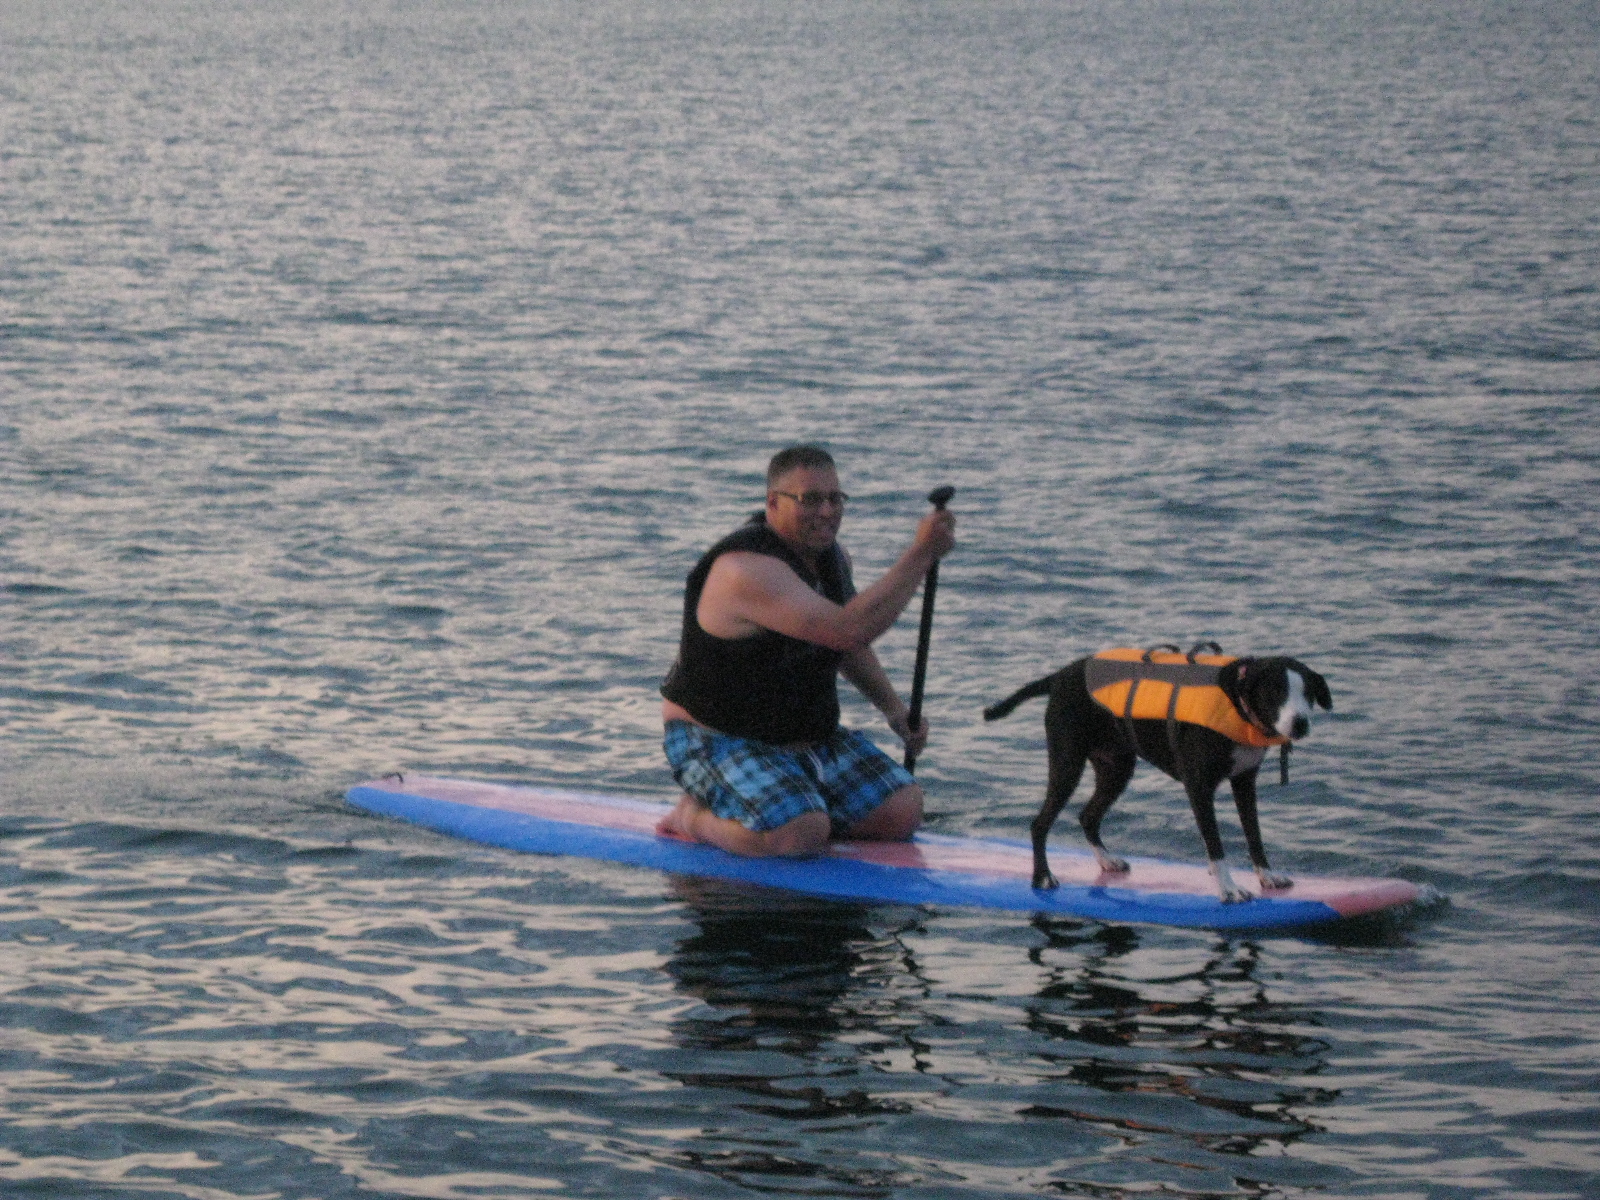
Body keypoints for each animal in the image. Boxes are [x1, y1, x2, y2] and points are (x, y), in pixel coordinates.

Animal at [983, 644, 1332, 903]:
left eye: (1308, 694)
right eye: (1275, 692)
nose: (1300, 723)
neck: (1237, 702)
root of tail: (1060, 675)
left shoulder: (1245, 782)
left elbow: (1254, 834)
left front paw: (1267, 876)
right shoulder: (1198, 787)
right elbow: (1215, 844)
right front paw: (1229, 889)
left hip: (1117, 768)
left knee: (1088, 815)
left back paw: (1106, 860)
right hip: (1068, 764)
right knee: (1040, 823)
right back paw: (1042, 876)